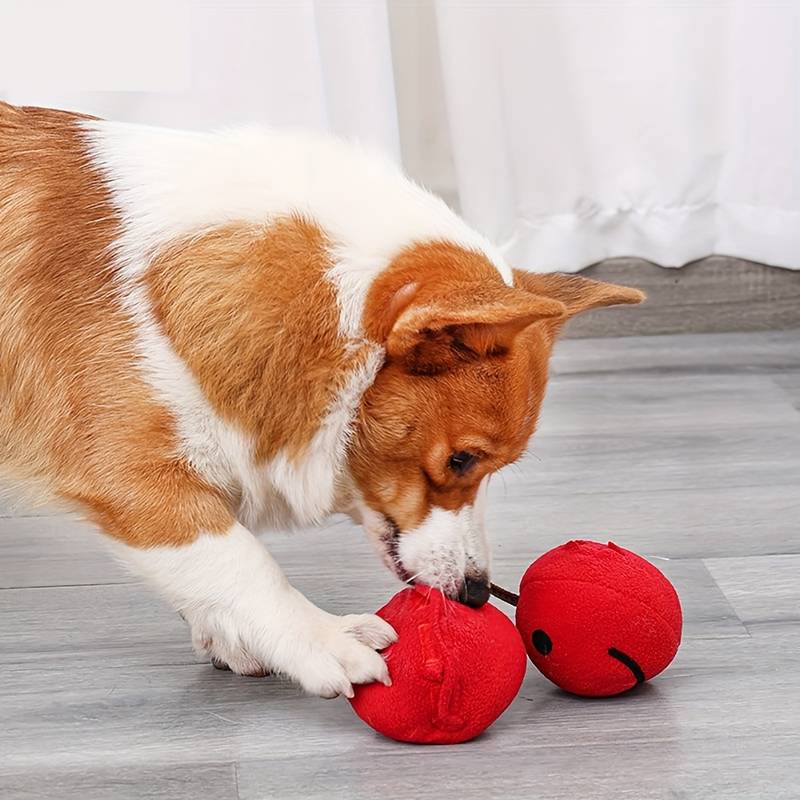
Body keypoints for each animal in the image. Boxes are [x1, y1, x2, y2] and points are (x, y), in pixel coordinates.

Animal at [0, 101, 644, 700]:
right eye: (461, 460)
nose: (476, 593)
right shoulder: (133, 478)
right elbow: (243, 563)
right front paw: (326, 640)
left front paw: (231, 639)